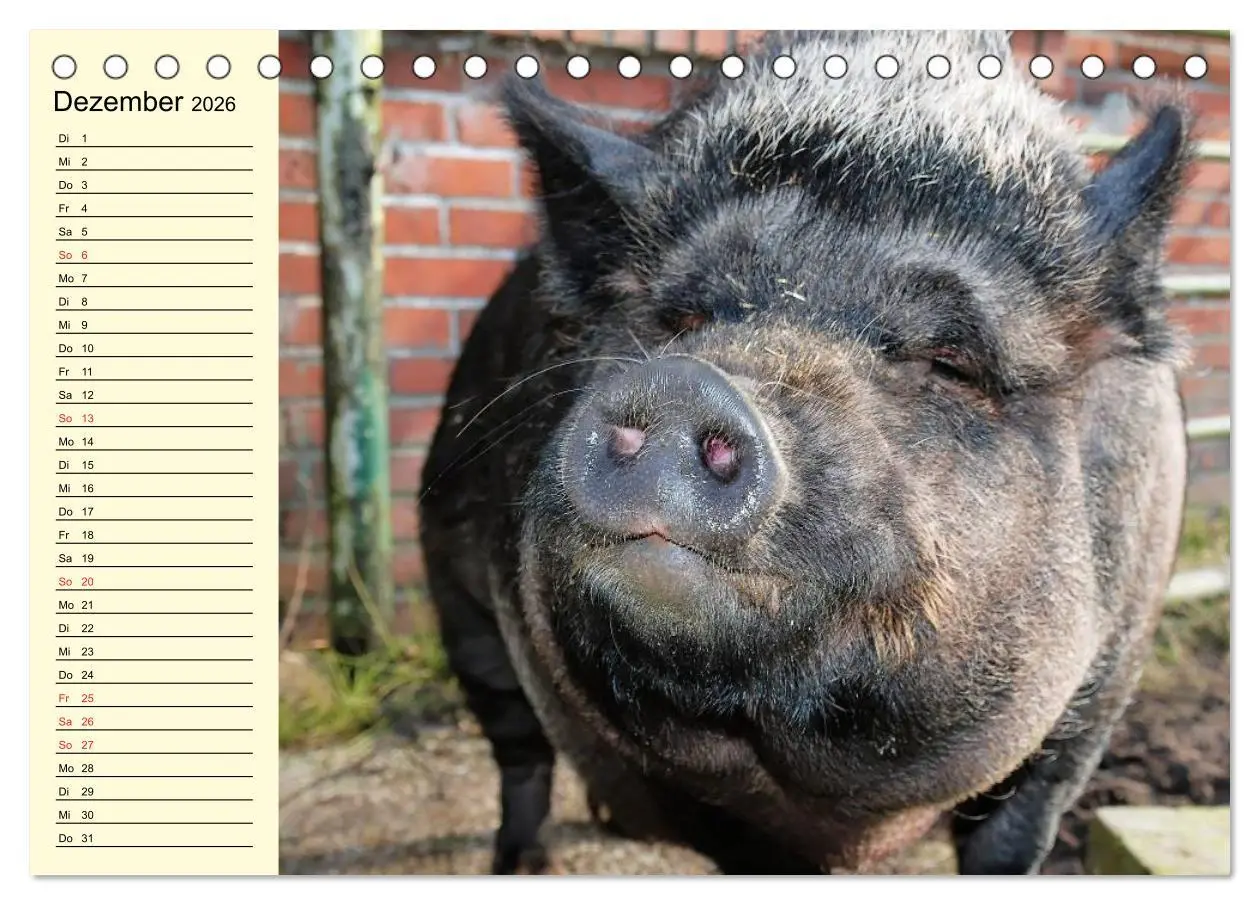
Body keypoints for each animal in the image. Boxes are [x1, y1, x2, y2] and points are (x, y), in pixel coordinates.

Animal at [418, 29, 1193, 874]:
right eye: (683, 319)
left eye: (951, 361)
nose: (684, 385)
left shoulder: (1095, 703)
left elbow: (1014, 836)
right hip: (457, 596)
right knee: (517, 747)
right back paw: (523, 862)